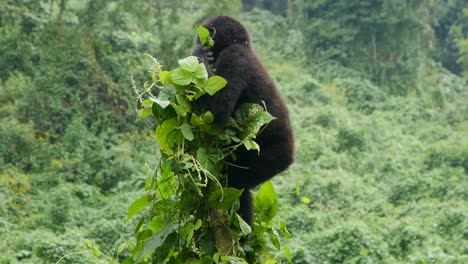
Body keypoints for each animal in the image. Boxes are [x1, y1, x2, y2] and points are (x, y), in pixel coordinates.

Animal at [192, 16, 294, 226]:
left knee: (235, 182)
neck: (239, 44)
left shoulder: (234, 56)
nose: (197, 40)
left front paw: (199, 54)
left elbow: (217, 111)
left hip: (276, 156)